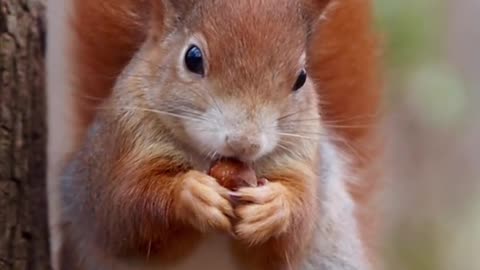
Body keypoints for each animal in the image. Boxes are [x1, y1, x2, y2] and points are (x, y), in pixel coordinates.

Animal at [50, 0, 382, 270]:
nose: (245, 143)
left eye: (301, 78)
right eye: (193, 58)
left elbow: (298, 226)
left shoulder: (303, 159)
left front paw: (274, 208)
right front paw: (190, 193)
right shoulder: (119, 143)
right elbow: (122, 207)